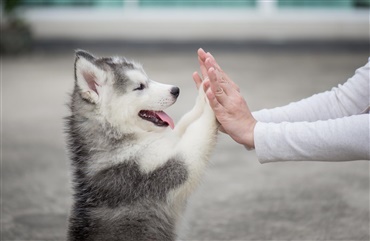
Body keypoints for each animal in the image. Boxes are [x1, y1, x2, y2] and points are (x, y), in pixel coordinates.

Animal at [65, 50, 218, 240]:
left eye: (147, 79)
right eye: (139, 87)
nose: (176, 90)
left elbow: (185, 122)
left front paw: (205, 90)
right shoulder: (166, 170)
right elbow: (197, 132)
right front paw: (212, 98)